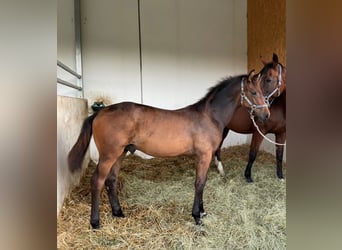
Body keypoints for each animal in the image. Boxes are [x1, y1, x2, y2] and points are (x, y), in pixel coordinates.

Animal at [67, 69, 270, 228]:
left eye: (261, 91)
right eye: (253, 92)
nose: (266, 115)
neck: (209, 116)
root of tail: (100, 112)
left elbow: (203, 183)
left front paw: (202, 212)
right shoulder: (203, 156)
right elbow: (199, 183)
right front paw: (197, 216)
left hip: (120, 154)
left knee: (112, 180)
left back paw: (118, 212)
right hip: (109, 155)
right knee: (98, 181)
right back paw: (95, 222)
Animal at [214, 53, 286, 182]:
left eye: (268, 79)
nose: (265, 110)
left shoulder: (281, 133)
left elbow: (279, 155)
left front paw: (280, 176)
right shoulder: (259, 132)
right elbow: (253, 154)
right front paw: (248, 176)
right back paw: (220, 169)